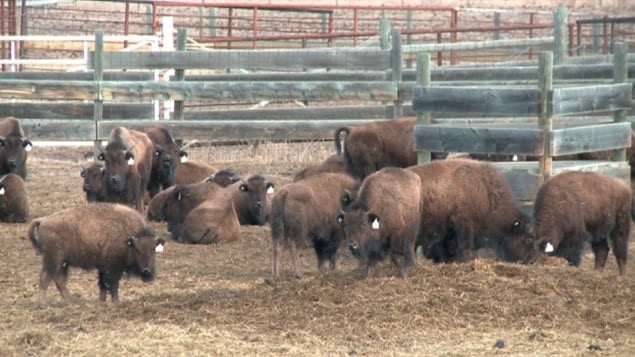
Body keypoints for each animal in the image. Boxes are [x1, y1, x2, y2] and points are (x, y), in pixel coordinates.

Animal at [27, 202, 166, 304]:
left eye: (153, 249)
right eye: (137, 249)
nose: (147, 271)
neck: (128, 238)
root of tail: (43, 220)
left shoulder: (103, 268)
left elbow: (103, 284)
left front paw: (102, 301)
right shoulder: (113, 268)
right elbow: (112, 284)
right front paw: (116, 302)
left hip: (62, 263)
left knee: (59, 281)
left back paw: (72, 302)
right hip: (53, 259)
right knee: (45, 278)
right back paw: (42, 304)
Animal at [502, 170, 632, 276]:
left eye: (531, 246)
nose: (527, 263)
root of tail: (623, 186)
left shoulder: (575, 238)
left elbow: (572, 255)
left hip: (621, 226)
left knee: (620, 249)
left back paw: (622, 275)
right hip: (598, 231)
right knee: (602, 250)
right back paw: (597, 273)